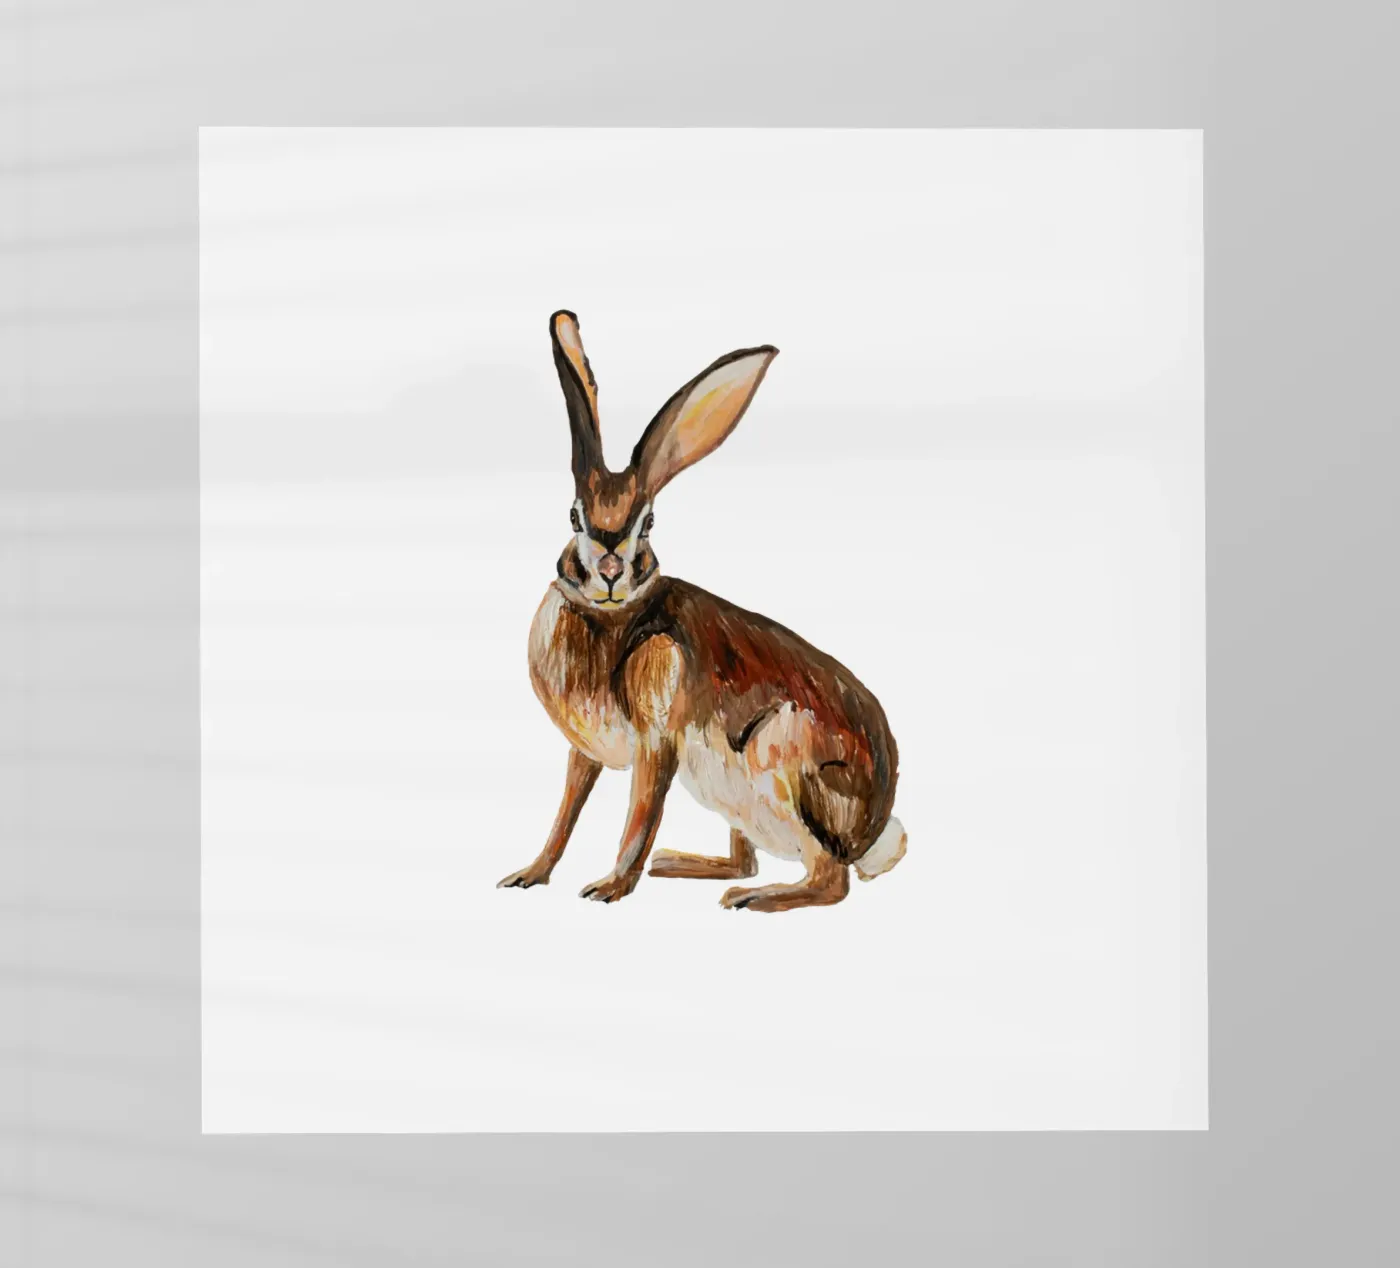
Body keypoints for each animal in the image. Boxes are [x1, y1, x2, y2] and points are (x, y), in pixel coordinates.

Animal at [497, 311, 906, 912]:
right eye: (574, 517)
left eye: (647, 523)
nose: (611, 571)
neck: (611, 617)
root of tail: (872, 833)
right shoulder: (583, 752)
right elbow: (565, 814)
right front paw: (529, 874)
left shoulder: (657, 742)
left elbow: (640, 816)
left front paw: (608, 888)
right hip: (729, 794)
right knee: (749, 856)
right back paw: (680, 864)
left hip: (780, 758)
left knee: (829, 879)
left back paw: (752, 898)